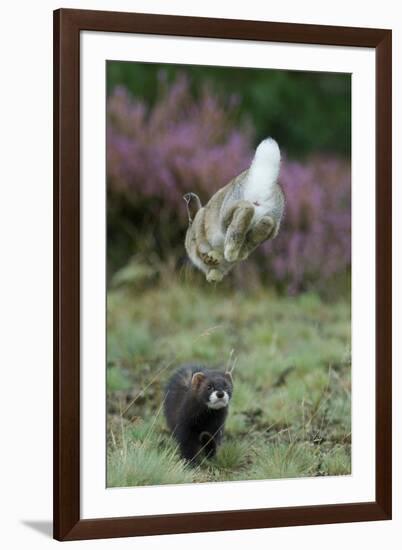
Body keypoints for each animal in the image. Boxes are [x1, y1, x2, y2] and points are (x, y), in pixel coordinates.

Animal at [184, 138, 284, 284]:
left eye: (190, 240)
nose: (211, 280)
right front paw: (213, 274)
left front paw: (212, 261)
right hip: (273, 224)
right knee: (266, 223)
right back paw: (240, 251)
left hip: (227, 212)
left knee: (245, 211)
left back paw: (231, 251)